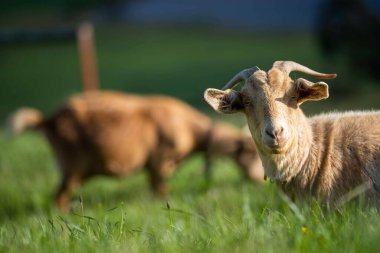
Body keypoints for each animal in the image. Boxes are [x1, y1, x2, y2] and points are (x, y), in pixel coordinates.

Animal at [8, 91, 264, 211]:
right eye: (253, 153)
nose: (260, 181)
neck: (189, 128)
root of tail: (49, 120)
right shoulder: (160, 161)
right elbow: (160, 189)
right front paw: (163, 205)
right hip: (72, 166)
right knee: (59, 196)